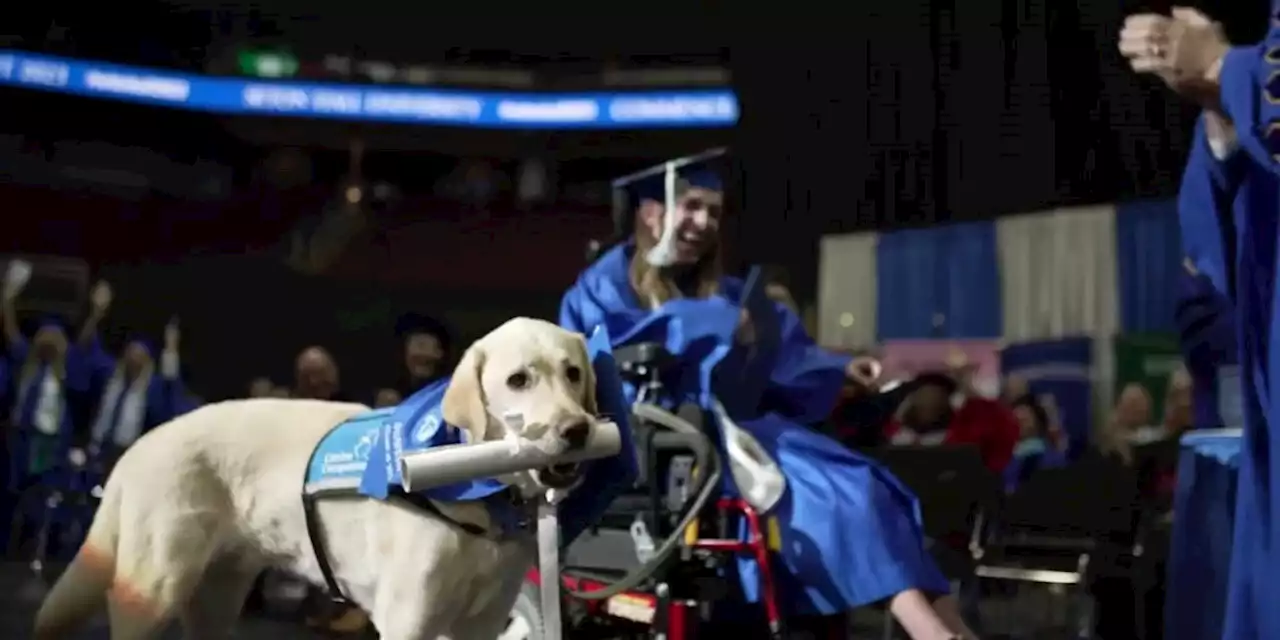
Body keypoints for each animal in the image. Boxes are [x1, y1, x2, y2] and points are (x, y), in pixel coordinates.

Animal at [33, 317, 604, 637]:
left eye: (573, 373)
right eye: (518, 379)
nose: (577, 429)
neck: (479, 490)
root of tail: (141, 443)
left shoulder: (481, 625)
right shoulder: (408, 619)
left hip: (215, 598)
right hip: (152, 591)